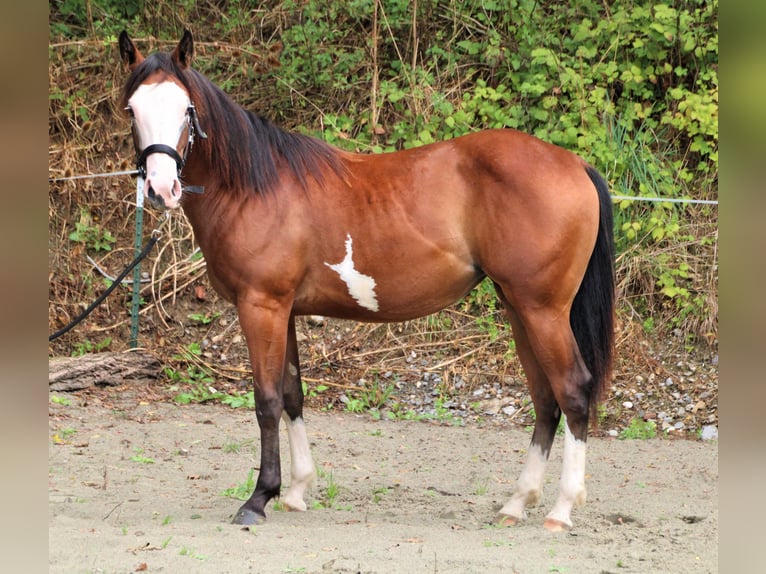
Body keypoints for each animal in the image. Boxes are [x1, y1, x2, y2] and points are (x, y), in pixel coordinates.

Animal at [118, 30, 616, 536]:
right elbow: (293, 395)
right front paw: (296, 491)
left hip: (542, 310)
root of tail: (574, 165)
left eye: (186, 108)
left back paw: (561, 509)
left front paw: (259, 498)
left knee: (573, 391)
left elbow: (267, 401)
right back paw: (516, 502)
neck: (255, 186)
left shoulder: (261, 306)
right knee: (545, 399)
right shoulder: (285, 309)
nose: (161, 189)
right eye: (132, 109)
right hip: (519, 309)